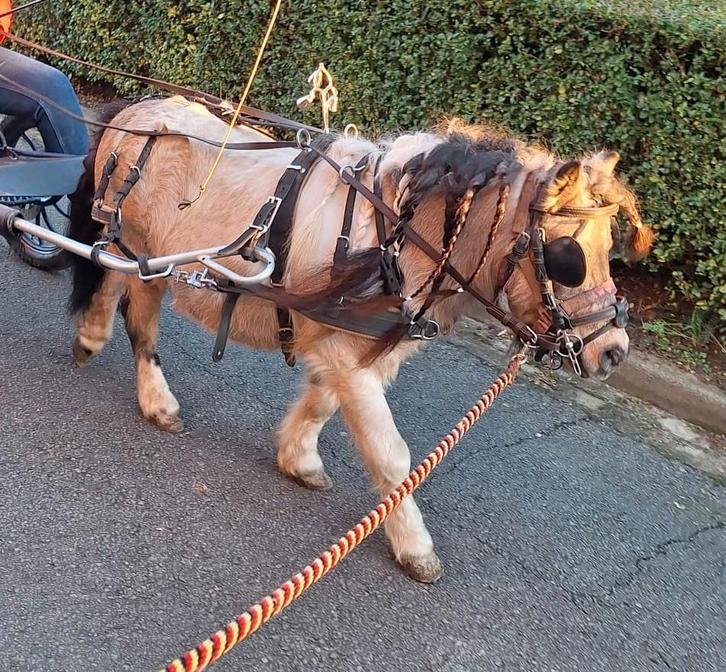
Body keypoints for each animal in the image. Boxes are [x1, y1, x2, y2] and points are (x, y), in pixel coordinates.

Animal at [68, 96, 653, 582]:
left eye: (609, 248)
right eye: (568, 258)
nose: (613, 351)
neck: (396, 236)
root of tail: (135, 110)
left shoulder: (349, 349)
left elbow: (324, 404)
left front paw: (298, 458)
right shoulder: (347, 354)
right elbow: (392, 453)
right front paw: (414, 545)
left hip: (132, 248)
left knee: (109, 276)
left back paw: (91, 335)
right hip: (147, 253)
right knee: (138, 316)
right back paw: (155, 398)